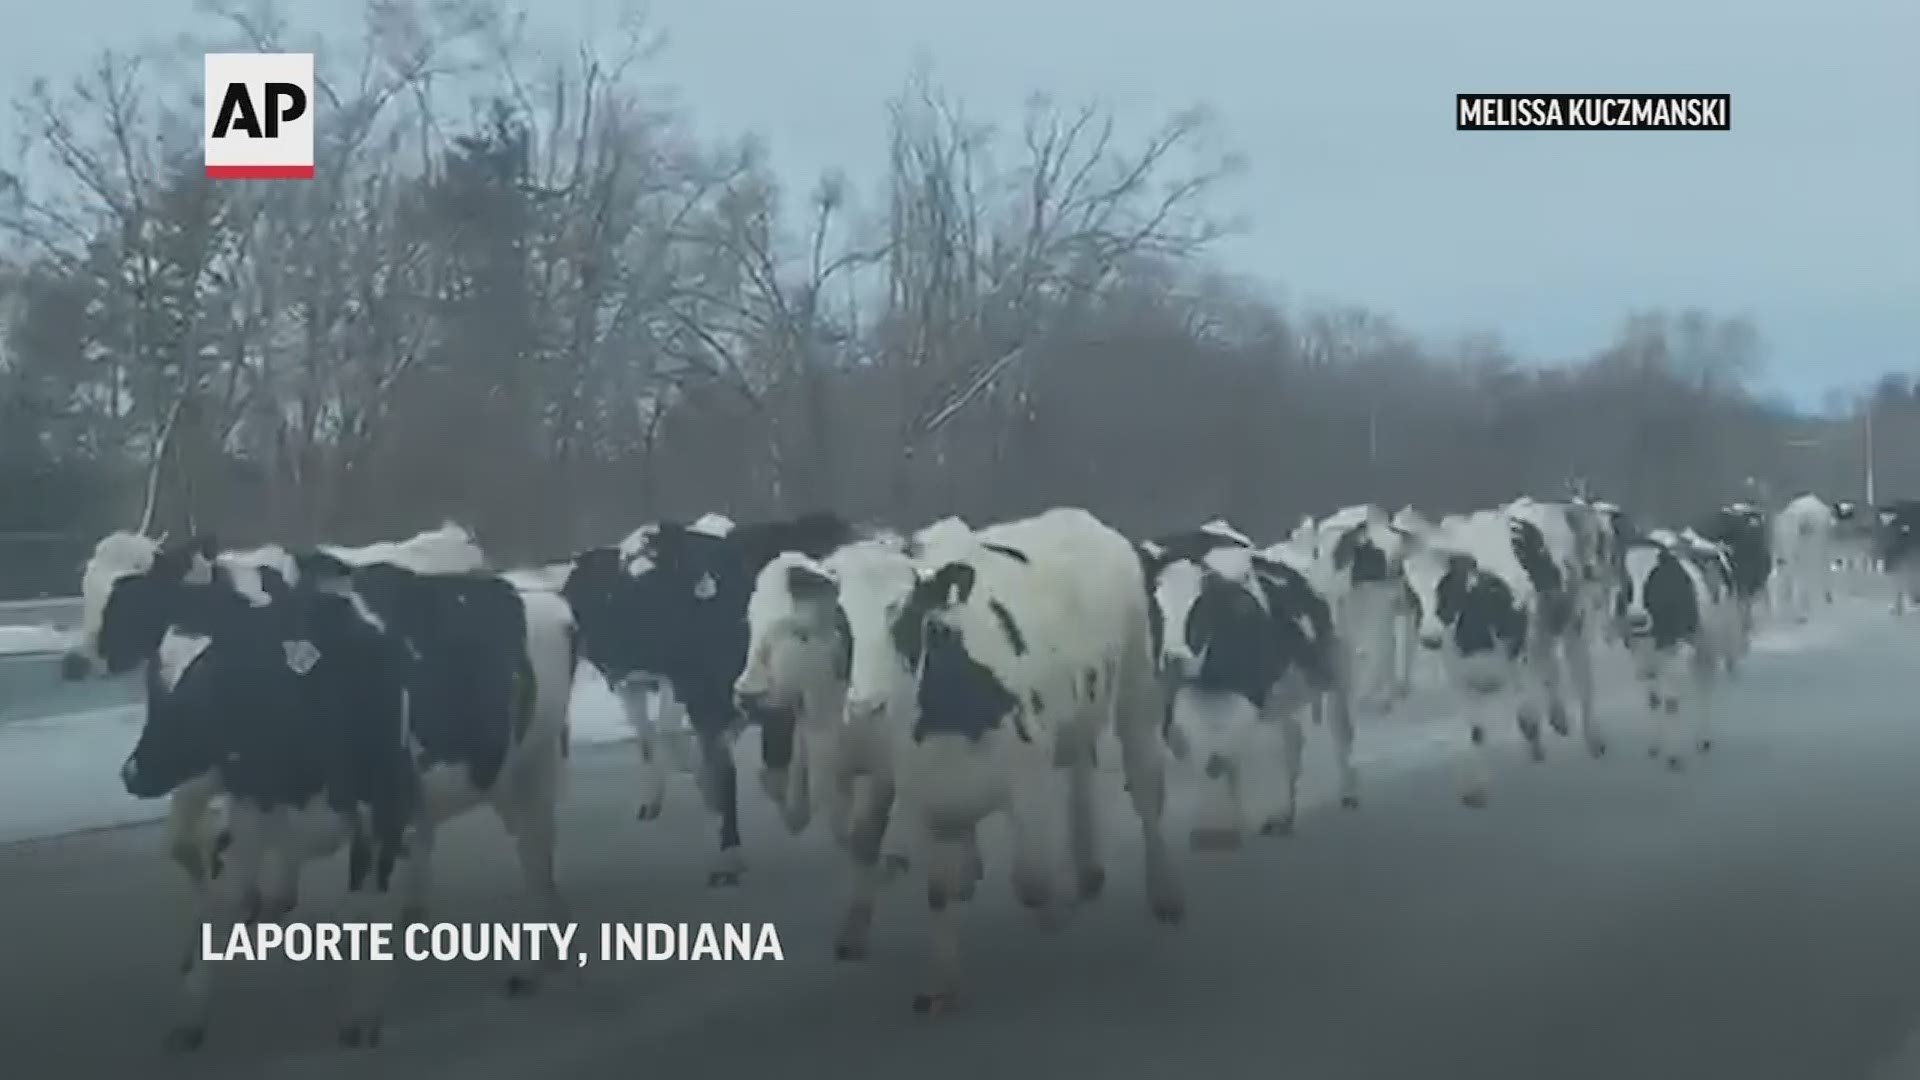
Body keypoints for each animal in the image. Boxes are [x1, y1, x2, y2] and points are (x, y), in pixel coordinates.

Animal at [108, 530, 572, 1045]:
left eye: (214, 682)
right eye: (156, 679)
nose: (133, 772)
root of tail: (533, 590)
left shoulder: (378, 810)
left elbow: (361, 911)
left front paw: (361, 1017)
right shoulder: (252, 807)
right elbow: (216, 902)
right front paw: (190, 1018)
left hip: (531, 769)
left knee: (535, 855)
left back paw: (530, 967)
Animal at [560, 507, 852, 880]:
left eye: (645, 577)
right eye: (617, 583)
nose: (598, 648)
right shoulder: (702, 698)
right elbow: (723, 768)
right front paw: (728, 851)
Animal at [840, 503, 1182, 1006]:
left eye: (905, 619)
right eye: (843, 625)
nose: (866, 708)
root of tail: (1078, 516)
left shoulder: (1029, 777)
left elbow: (1032, 879)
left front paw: (1057, 911)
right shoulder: (926, 794)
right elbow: (938, 888)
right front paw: (941, 984)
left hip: (1138, 684)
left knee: (1145, 788)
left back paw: (1163, 894)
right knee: (1082, 766)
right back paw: (1087, 870)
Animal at [1612, 526, 1751, 764]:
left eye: (1657, 578)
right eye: (1626, 581)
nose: (1637, 620)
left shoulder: (1677, 650)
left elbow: (1671, 702)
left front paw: (1674, 757)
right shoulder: (1640, 655)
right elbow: (1654, 700)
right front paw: (1655, 746)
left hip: (1709, 642)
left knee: (1704, 685)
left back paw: (1703, 739)